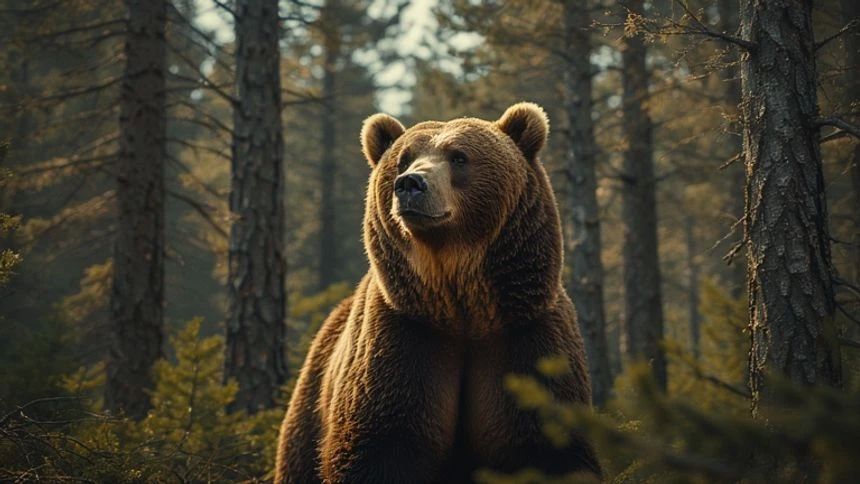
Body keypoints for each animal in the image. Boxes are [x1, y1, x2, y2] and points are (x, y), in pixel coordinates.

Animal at [275, 103, 600, 483]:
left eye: (459, 156)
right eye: (403, 159)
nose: (410, 184)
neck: (460, 304)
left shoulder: (526, 335)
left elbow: (549, 449)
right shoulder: (405, 338)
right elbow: (380, 447)